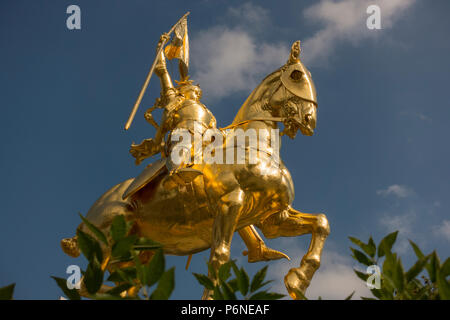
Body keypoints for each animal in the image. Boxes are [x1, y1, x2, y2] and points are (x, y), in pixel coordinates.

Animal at [60, 41, 326, 298]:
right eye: (296, 75)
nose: (310, 120)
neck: (255, 146)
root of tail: (93, 209)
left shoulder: (272, 218)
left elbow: (321, 223)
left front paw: (298, 282)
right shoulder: (231, 201)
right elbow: (219, 256)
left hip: (136, 255)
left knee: (125, 285)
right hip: (107, 241)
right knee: (87, 286)